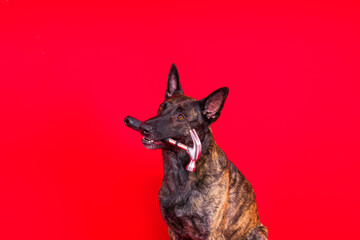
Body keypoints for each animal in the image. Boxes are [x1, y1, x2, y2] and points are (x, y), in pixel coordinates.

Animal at [134, 64, 266, 240]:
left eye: (181, 117)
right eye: (162, 106)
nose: (143, 127)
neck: (179, 172)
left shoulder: (212, 233)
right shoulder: (174, 231)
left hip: (258, 232)